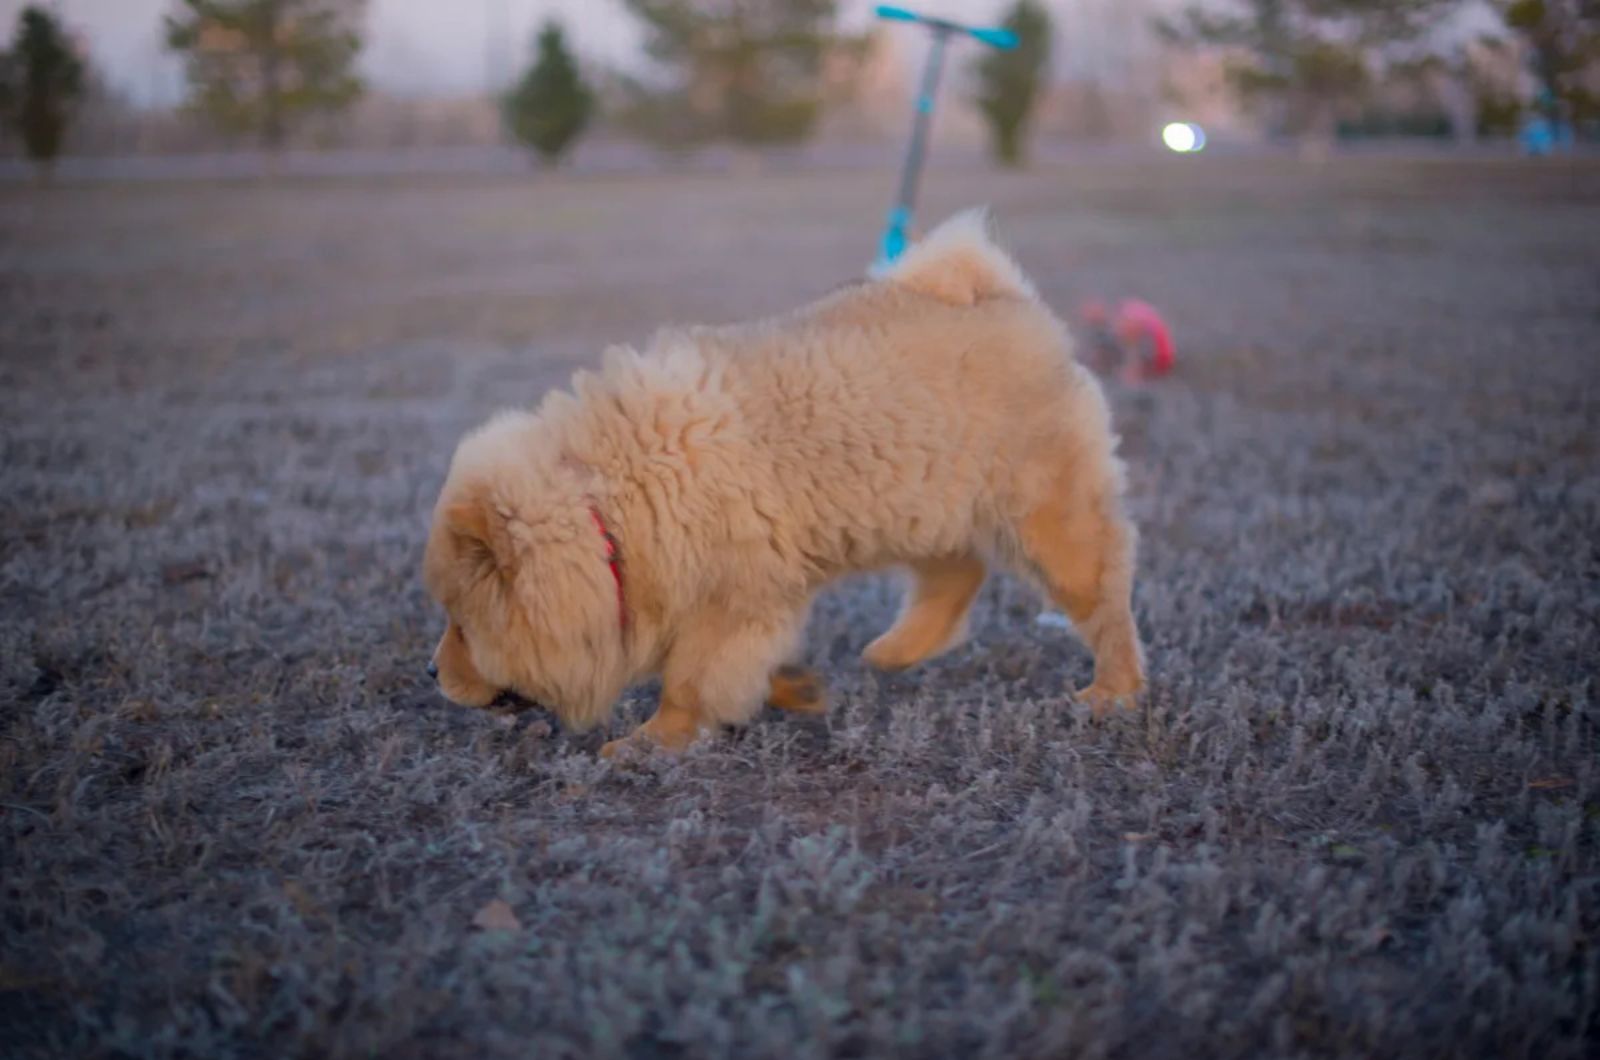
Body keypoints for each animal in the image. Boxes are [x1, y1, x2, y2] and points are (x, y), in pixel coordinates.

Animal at [422, 209, 1152, 755]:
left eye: (461, 624)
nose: (431, 670)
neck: (610, 506)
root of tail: (1002, 297)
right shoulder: (744, 593)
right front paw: (793, 688)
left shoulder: (731, 599)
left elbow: (689, 680)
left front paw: (649, 743)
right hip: (917, 501)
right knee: (958, 572)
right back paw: (896, 651)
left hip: (1047, 517)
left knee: (1103, 600)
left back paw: (1113, 693)